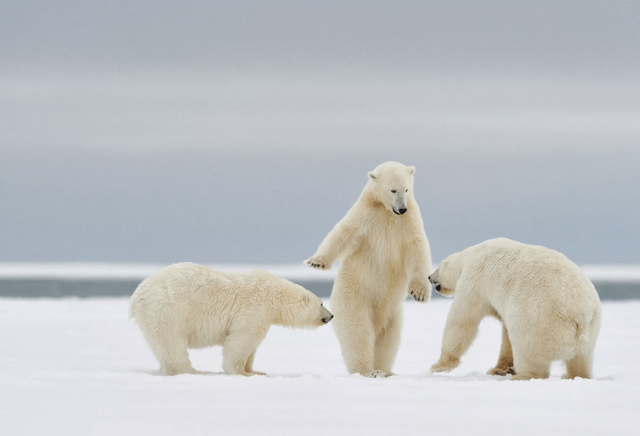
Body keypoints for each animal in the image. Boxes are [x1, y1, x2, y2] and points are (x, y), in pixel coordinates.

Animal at [127, 262, 332, 374]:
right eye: (321, 303)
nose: (331, 316)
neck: (274, 294)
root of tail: (136, 296)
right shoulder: (254, 309)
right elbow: (241, 340)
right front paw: (242, 373)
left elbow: (252, 347)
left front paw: (256, 371)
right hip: (167, 310)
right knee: (172, 343)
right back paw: (193, 371)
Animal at [306, 162, 436, 376]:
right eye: (393, 190)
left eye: (407, 189)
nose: (402, 208)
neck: (387, 212)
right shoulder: (366, 217)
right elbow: (343, 233)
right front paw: (316, 262)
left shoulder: (409, 222)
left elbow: (417, 250)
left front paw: (420, 293)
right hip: (354, 300)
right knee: (358, 333)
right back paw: (368, 371)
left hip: (393, 313)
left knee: (388, 339)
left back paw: (384, 370)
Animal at [428, 238, 604, 382]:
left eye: (438, 268)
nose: (429, 277)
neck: (472, 254)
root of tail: (580, 316)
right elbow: (506, 334)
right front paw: (500, 369)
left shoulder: (474, 279)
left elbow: (462, 320)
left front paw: (439, 365)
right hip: (590, 331)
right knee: (581, 359)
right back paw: (573, 375)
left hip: (538, 320)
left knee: (528, 351)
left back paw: (522, 376)